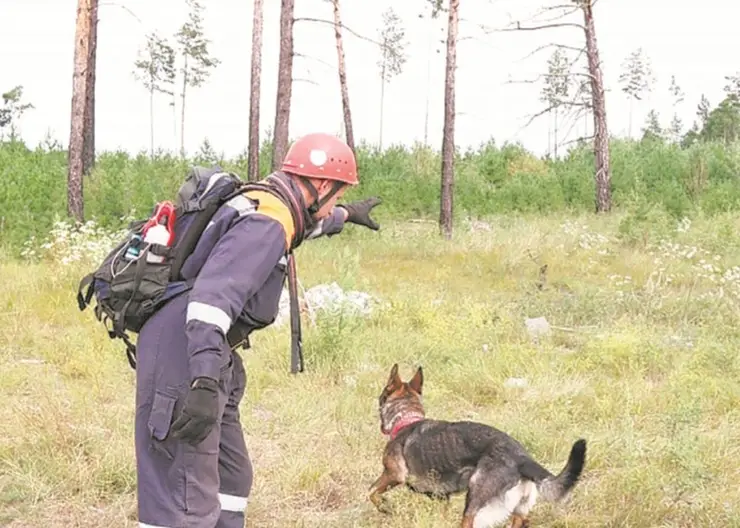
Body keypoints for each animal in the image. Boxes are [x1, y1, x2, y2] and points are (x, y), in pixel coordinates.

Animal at [368, 366, 588, 528]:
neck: (406, 419)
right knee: (522, 520)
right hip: (519, 509)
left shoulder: (394, 474)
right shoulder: (441, 497)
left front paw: (385, 508)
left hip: (475, 507)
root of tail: (522, 459)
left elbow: (371, 492)